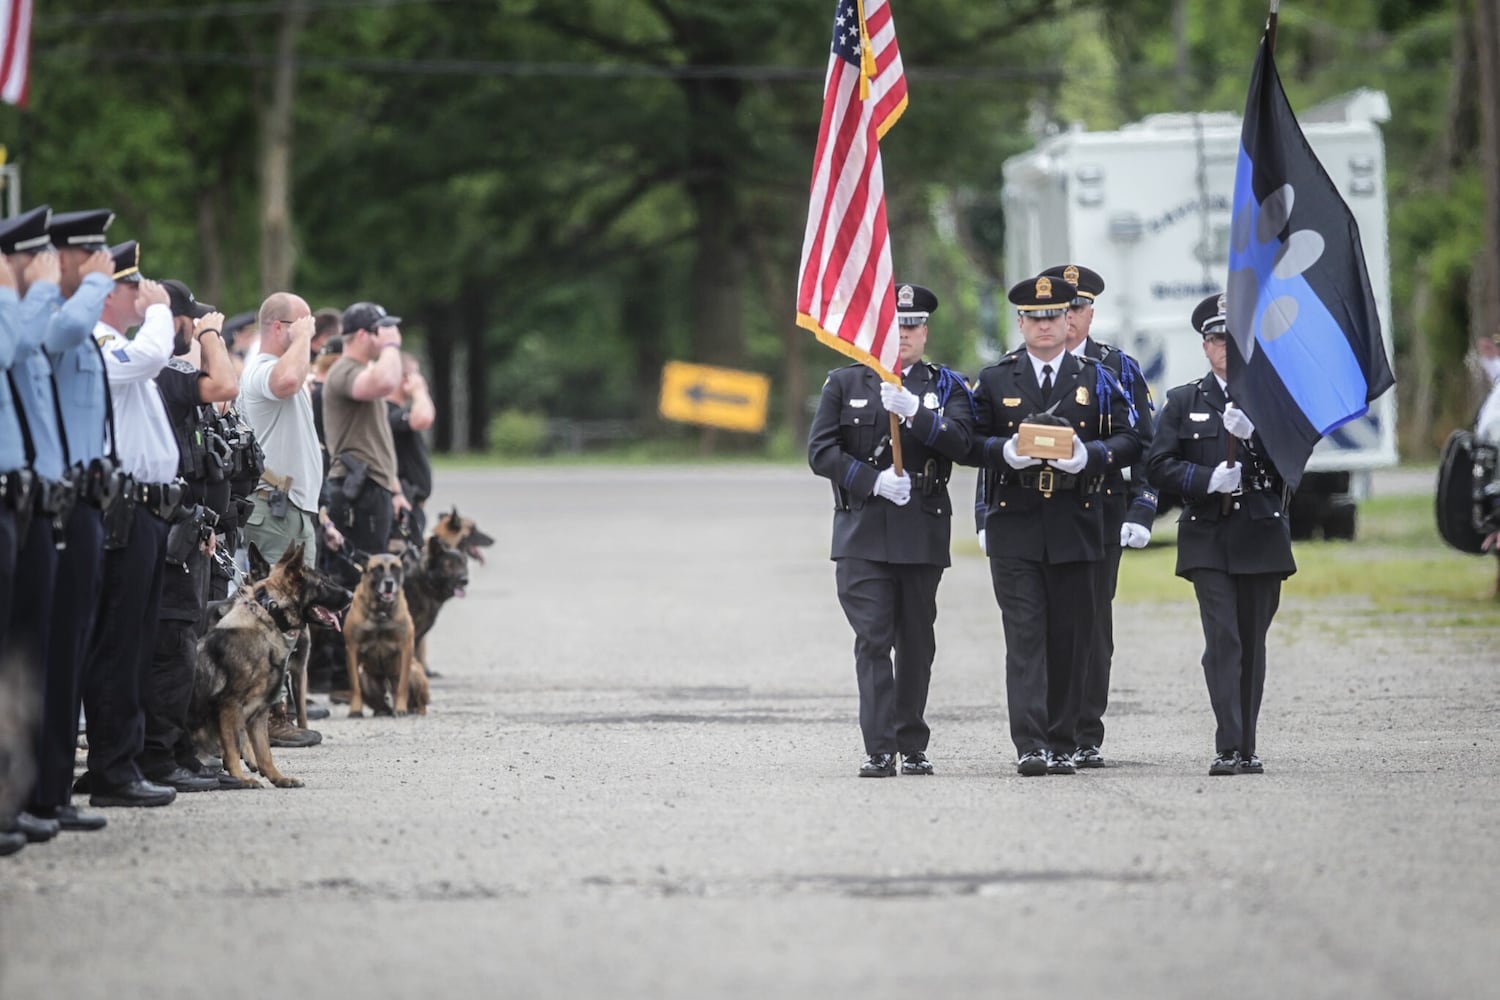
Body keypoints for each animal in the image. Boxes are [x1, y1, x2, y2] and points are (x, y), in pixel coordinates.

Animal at [193, 542, 351, 785]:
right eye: (323, 583)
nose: (352, 594)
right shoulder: (231, 701)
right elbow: (237, 737)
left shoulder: (297, 672)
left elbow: (290, 723)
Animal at [345, 554, 429, 719]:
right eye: (377, 569)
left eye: (395, 568)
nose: (389, 583)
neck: (380, 611)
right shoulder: (352, 648)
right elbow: (355, 686)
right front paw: (355, 709)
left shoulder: (406, 647)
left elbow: (402, 686)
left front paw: (401, 708)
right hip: (364, 675)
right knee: (382, 703)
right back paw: (383, 711)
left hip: (415, 673)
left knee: (418, 702)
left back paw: (413, 710)